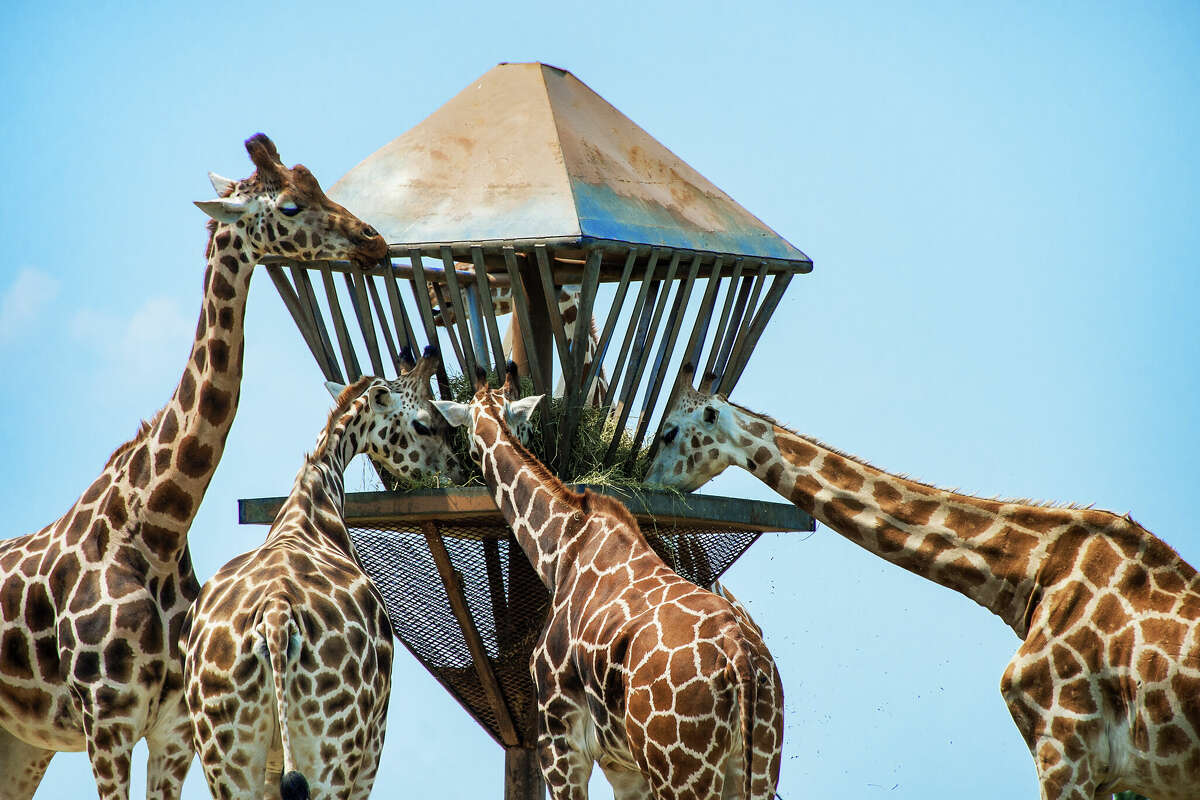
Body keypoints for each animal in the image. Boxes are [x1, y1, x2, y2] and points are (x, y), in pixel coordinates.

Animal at [0, 133, 384, 800]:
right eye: (289, 205)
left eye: (315, 184)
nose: (372, 240)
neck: (156, 526)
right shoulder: (108, 722)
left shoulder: (174, 731)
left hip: (24, 740)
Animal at [183, 350, 458, 800]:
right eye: (423, 423)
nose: (456, 469)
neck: (311, 508)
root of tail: (276, 617)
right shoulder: (373, 746)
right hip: (337, 747)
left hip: (224, 755)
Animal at [436, 371, 782, 800]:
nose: (460, 464)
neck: (561, 547)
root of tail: (741, 661)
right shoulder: (623, 766)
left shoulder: (560, 743)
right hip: (757, 763)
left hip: (680, 768)